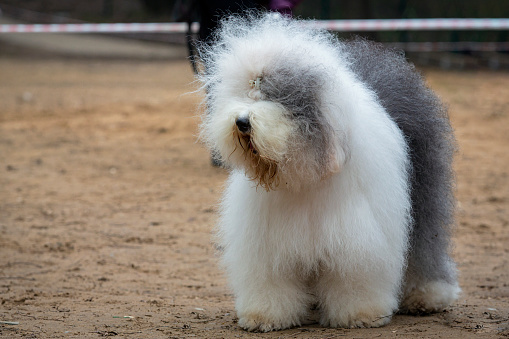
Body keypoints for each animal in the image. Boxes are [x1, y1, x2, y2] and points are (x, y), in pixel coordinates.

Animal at [196, 12, 458, 332]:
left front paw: (360, 314)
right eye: (247, 94)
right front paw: (265, 317)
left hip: (424, 193)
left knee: (424, 246)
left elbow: (353, 277)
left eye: (281, 98)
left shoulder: (357, 238)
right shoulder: (268, 243)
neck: (303, 178)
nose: (242, 122)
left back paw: (427, 296)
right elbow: (272, 279)